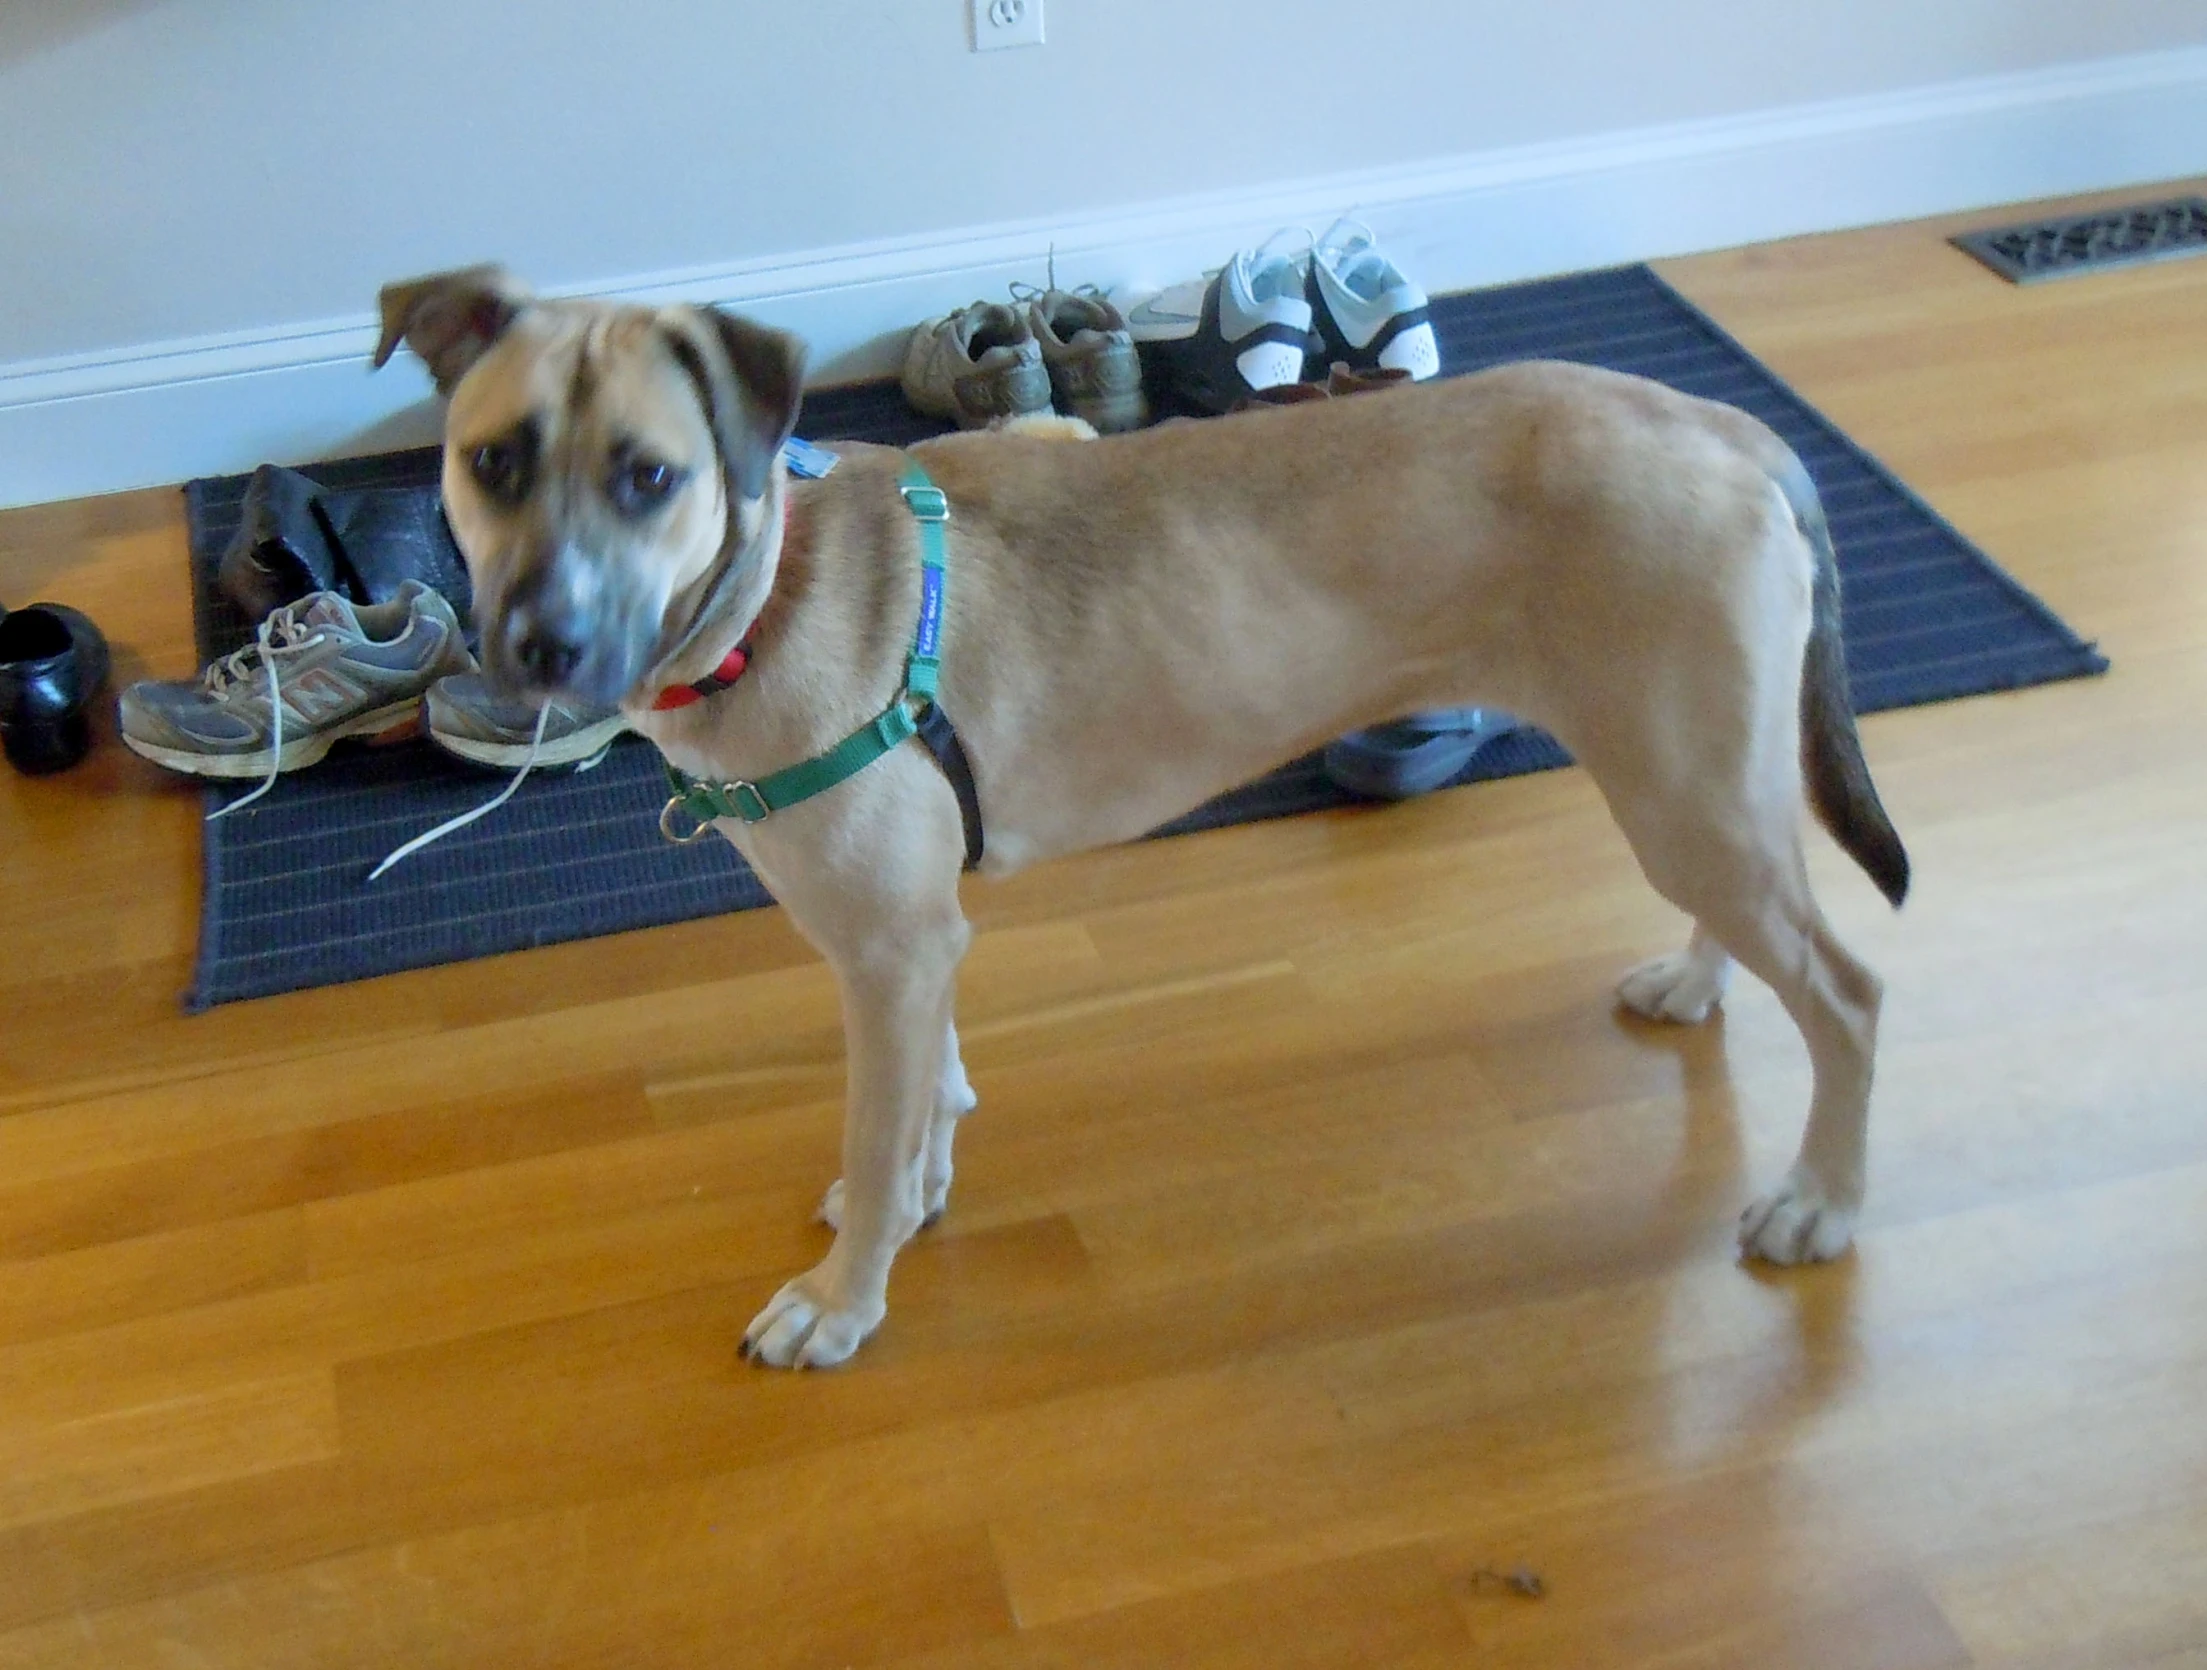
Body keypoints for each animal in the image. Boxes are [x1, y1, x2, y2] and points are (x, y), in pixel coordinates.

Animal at [370, 266, 1906, 1367]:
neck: (767, 600)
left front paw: (843, 1294)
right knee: (1745, 911)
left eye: (649, 476)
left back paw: (1821, 1199)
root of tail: (1721, 421)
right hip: (1687, 773)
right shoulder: (919, 940)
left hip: (1680, 780)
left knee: (1845, 990)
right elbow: (929, 1094)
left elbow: (873, 1133)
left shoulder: (887, 947)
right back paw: (1697, 983)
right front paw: (919, 1182)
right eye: (493, 463)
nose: (542, 649)